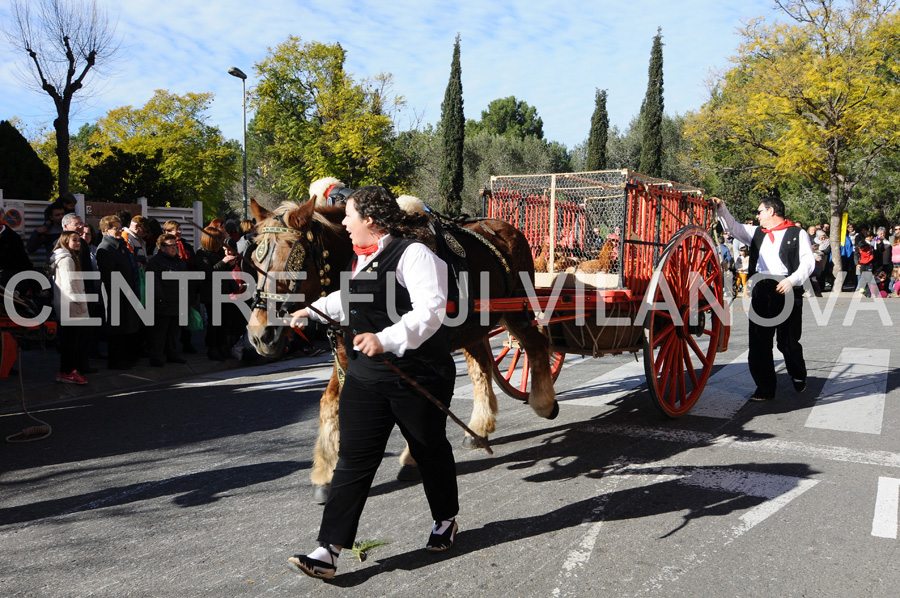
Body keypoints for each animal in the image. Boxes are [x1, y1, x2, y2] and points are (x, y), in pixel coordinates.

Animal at [243, 196, 560, 502]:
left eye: (291, 260)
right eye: (256, 258)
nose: (259, 335)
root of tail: (505, 227)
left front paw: (412, 459)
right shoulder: (349, 351)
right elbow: (329, 402)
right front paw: (325, 473)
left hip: (516, 311)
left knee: (537, 345)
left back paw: (543, 402)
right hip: (475, 327)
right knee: (481, 368)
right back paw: (479, 427)